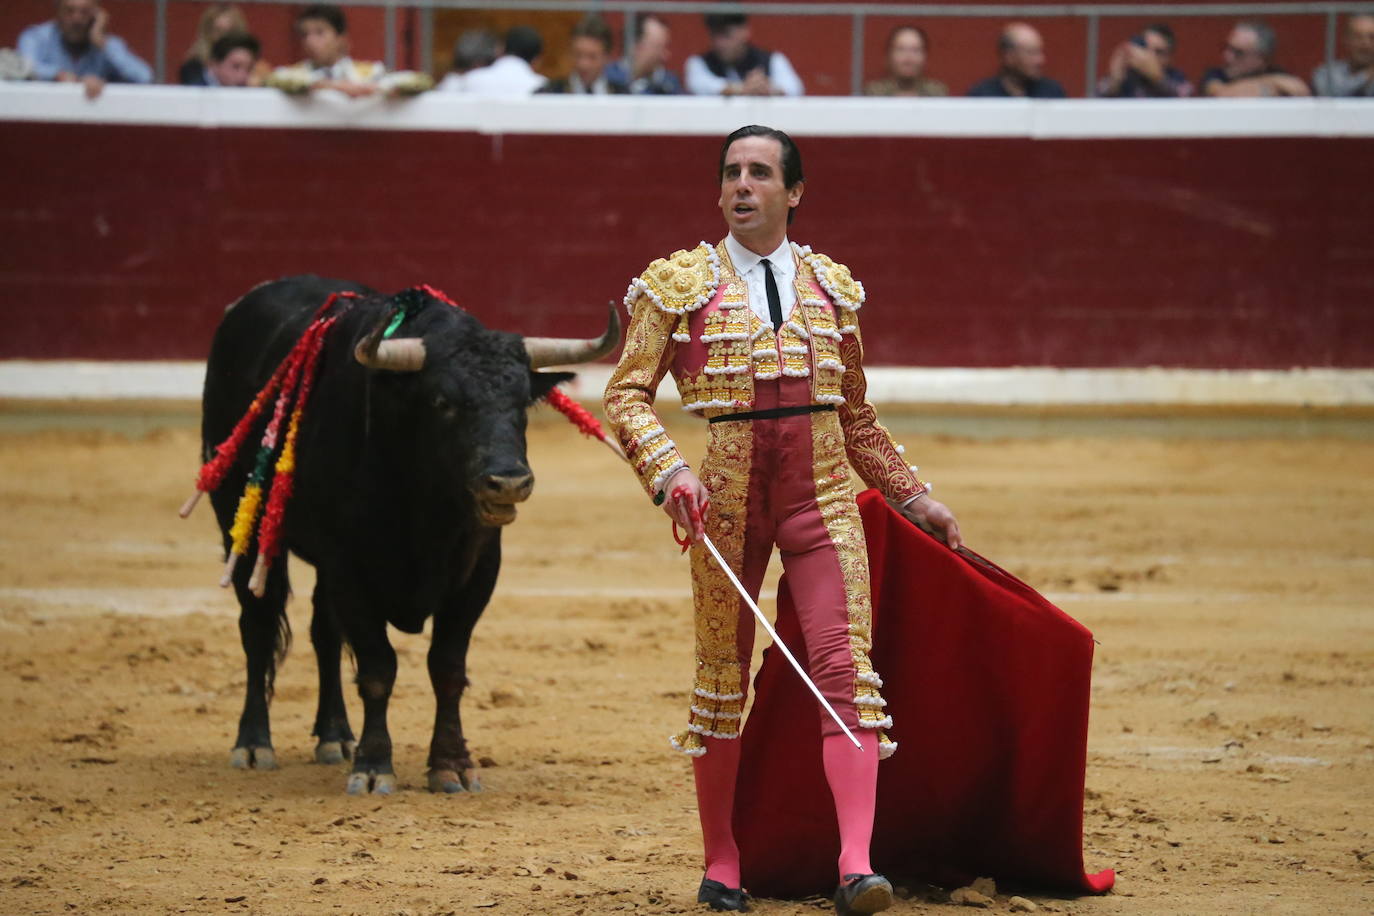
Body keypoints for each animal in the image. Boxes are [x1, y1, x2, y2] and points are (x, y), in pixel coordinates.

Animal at [200, 277, 618, 796]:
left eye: (522, 402)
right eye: (443, 403)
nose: (508, 482)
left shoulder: (477, 573)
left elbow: (448, 668)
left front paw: (451, 764)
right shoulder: (350, 571)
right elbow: (378, 667)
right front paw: (374, 766)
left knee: (323, 632)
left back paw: (334, 735)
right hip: (241, 521)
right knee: (258, 624)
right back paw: (255, 744)